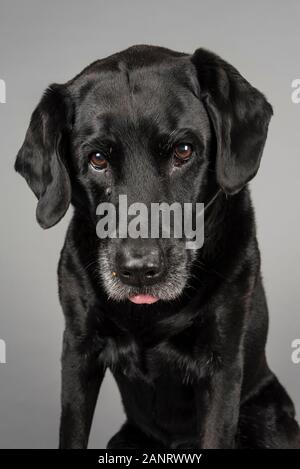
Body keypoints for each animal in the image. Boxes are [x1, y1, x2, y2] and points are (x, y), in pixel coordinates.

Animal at [15, 45, 300, 448]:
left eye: (183, 150)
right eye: (97, 159)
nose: (139, 271)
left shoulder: (222, 363)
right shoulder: (78, 349)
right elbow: (71, 430)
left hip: (270, 418)